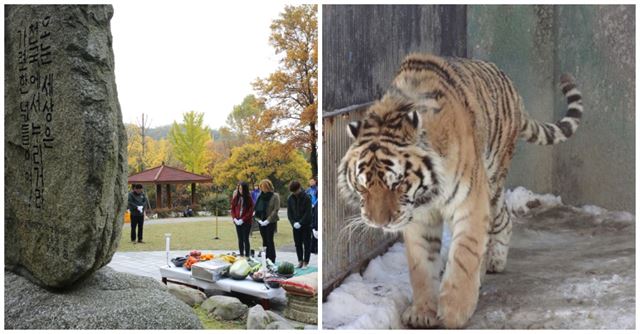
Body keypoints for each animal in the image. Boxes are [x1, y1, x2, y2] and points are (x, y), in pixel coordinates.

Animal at [338, 52, 584, 328]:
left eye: (398, 183)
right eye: (363, 185)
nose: (379, 223)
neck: (427, 194)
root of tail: (512, 88)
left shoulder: (469, 202)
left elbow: (464, 256)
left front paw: (454, 312)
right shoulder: (418, 217)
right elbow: (421, 266)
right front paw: (422, 312)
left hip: (493, 177)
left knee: (498, 221)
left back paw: (490, 266)